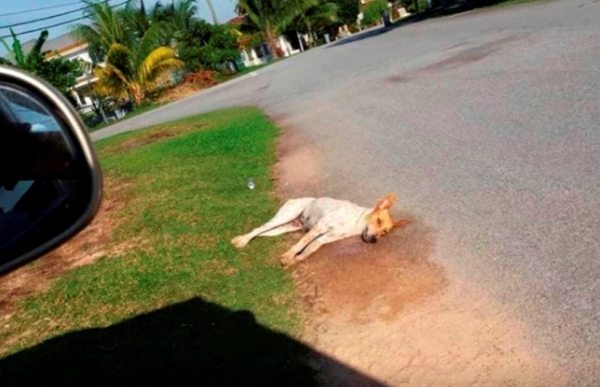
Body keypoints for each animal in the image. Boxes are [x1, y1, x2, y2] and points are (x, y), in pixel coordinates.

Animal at [232, 194, 410, 266]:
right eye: (378, 220)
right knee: (258, 228)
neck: (354, 223)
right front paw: (290, 255)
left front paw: (297, 259)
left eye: (384, 233)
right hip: (286, 215)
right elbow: (302, 243)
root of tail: (294, 199)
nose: (374, 240)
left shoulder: (326, 238)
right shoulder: (320, 228)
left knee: (262, 232)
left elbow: (310, 248)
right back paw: (242, 240)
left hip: (283, 228)